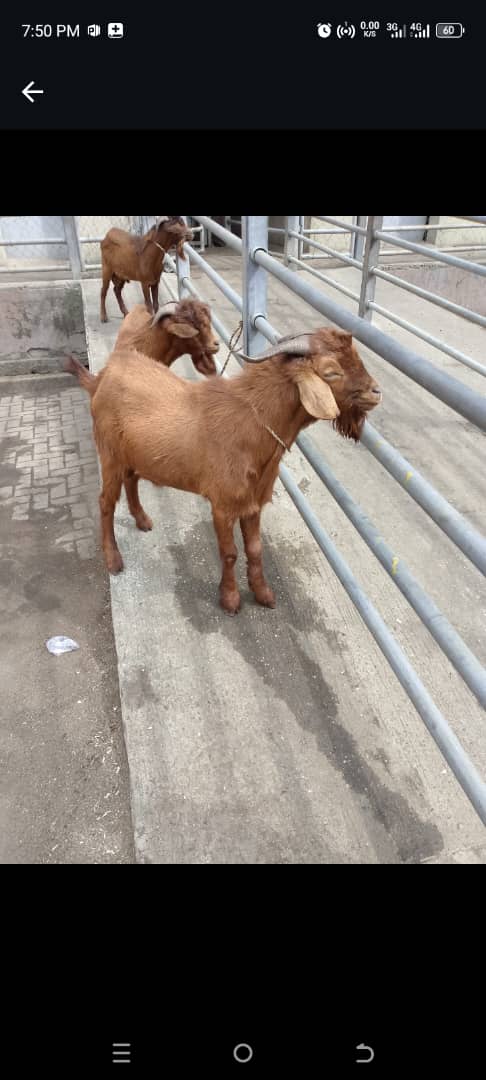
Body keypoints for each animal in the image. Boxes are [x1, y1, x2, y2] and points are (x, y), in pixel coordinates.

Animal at [65, 327, 381, 614]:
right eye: (331, 372)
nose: (376, 391)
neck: (252, 424)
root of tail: (103, 376)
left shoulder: (253, 503)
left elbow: (255, 549)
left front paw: (263, 593)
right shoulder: (222, 505)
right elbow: (229, 553)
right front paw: (230, 600)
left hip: (132, 453)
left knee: (132, 479)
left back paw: (142, 520)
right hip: (109, 453)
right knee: (105, 502)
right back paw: (113, 559)